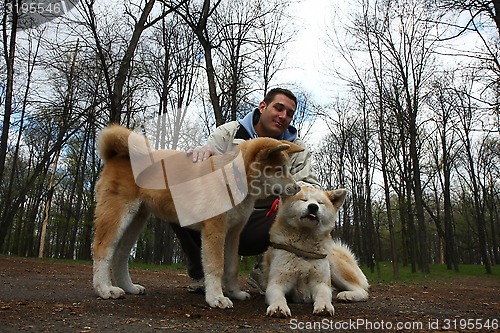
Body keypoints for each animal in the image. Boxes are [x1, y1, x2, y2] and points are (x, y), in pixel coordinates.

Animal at [92, 124, 302, 308]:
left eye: (288, 169)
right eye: (279, 170)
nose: (298, 188)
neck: (232, 176)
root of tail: (117, 156)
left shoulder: (233, 232)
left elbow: (231, 267)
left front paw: (235, 293)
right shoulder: (215, 229)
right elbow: (216, 265)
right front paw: (216, 297)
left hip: (136, 220)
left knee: (120, 255)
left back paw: (129, 287)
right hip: (118, 216)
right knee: (103, 250)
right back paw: (105, 289)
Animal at [264, 187, 370, 316]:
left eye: (320, 202)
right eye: (304, 199)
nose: (313, 207)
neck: (304, 247)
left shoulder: (321, 283)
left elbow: (323, 295)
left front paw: (324, 306)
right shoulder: (277, 283)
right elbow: (278, 296)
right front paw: (278, 306)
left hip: (334, 267)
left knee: (362, 291)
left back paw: (347, 295)